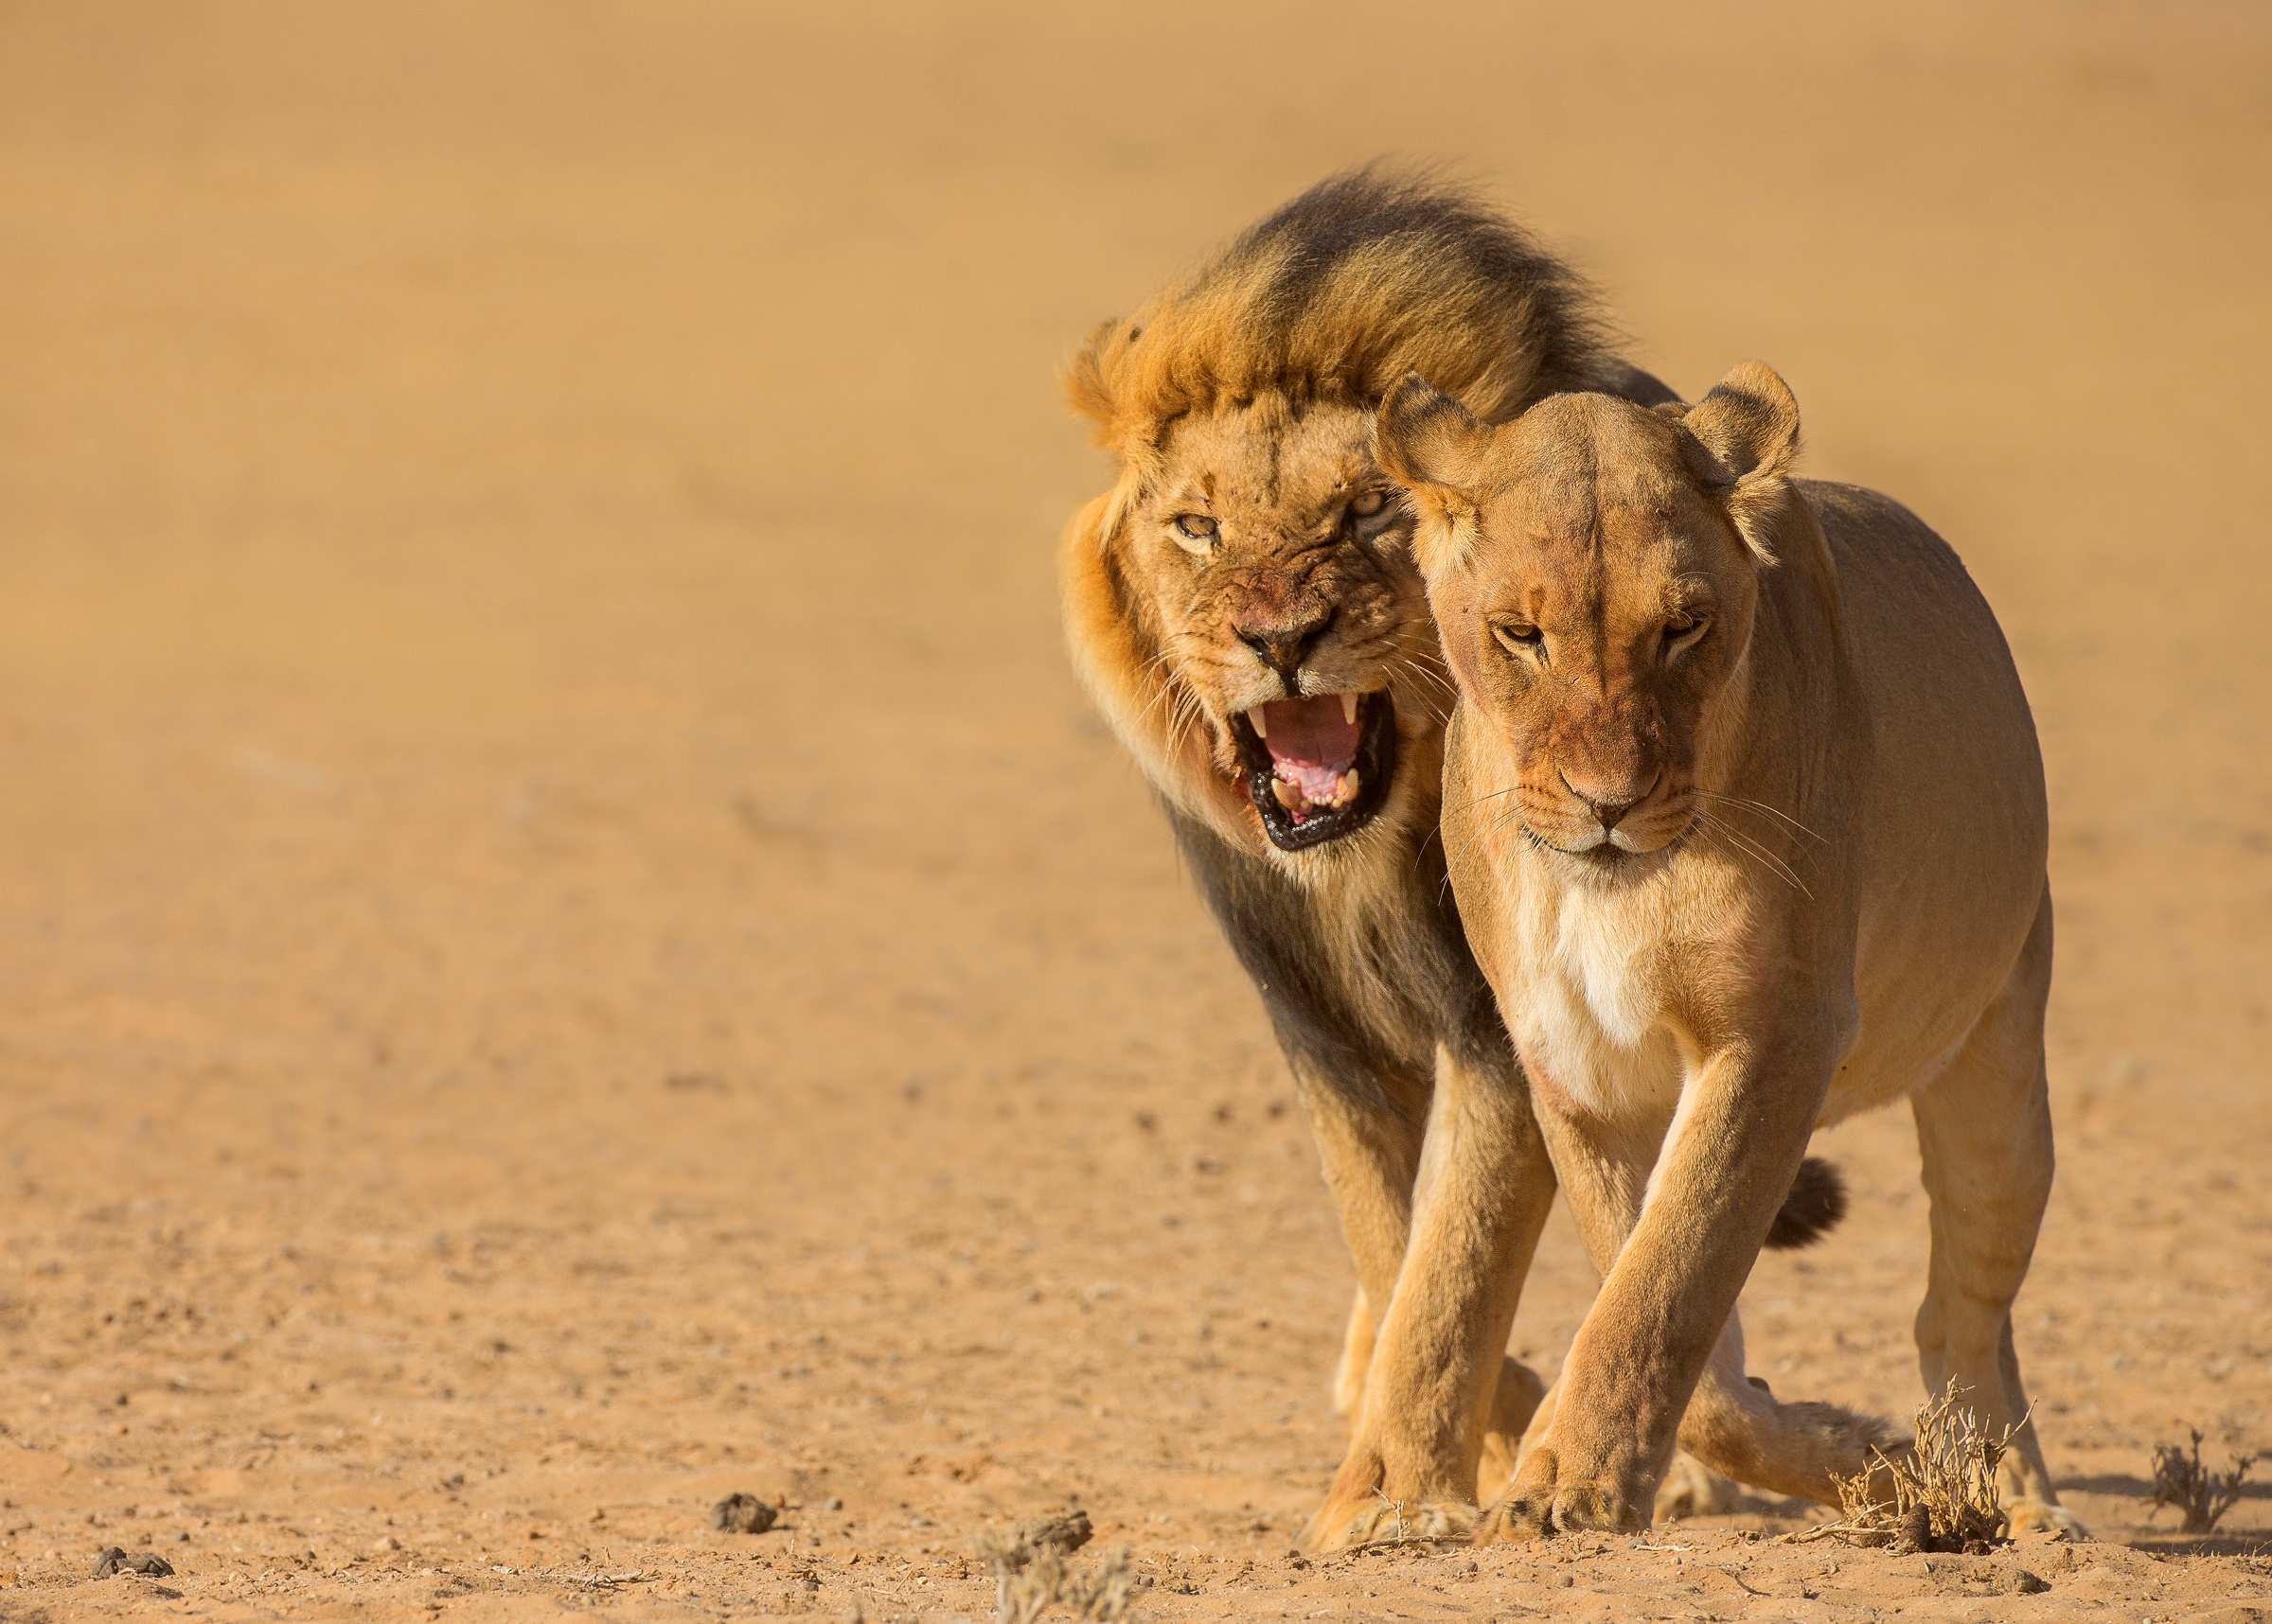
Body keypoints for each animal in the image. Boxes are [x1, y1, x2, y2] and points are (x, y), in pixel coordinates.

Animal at [1054, 168, 1836, 1553]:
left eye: (1369, 508)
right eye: (1197, 526)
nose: (1279, 638)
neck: (1365, 863)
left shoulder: (1500, 1032)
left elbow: (1453, 1268)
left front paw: (1394, 1504)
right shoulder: (1319, 1028)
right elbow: (1397, 1247)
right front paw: (1435, 1451)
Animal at [1372, 361, 2081, 1545]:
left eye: (1684, 627)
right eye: (1519, 634)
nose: (1609, 804)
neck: (1611, 891)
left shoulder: (1779, 1032)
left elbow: (1666, 1287)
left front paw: (1576, 1483)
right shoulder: (1576, 1072)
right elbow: (1671, 1310)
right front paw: (1839, 1456)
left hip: (2002, 1058)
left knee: (1963, 1317)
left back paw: (2010, 1498)